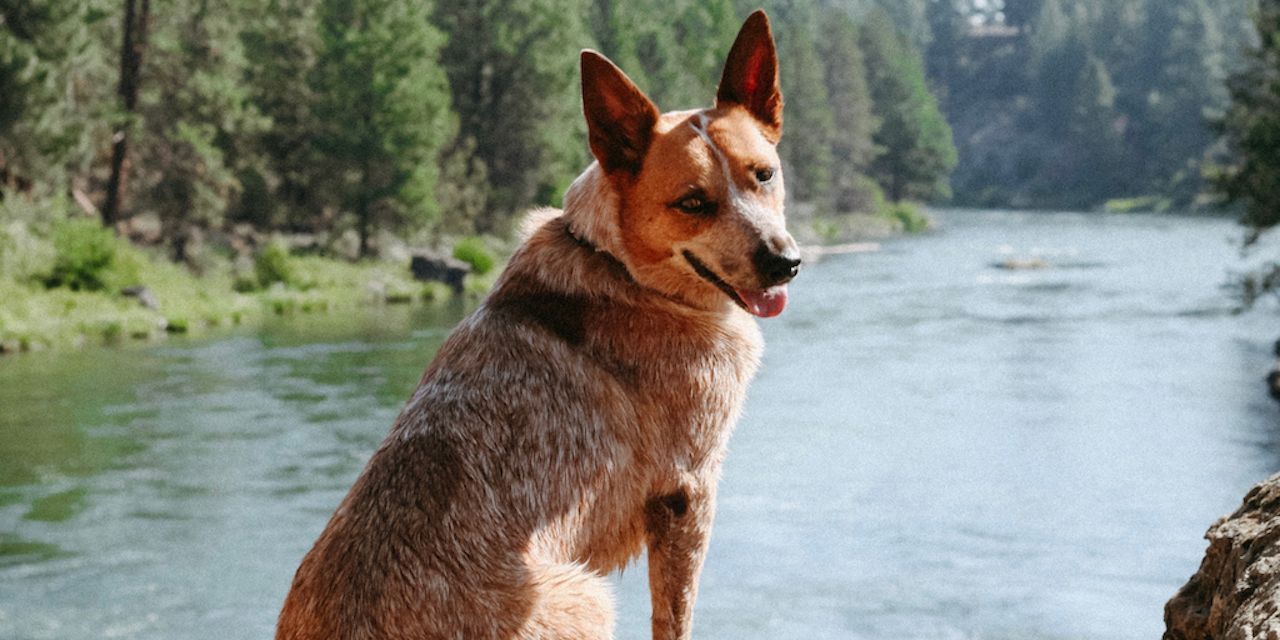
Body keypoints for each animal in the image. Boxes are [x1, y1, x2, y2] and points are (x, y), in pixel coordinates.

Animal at [277, 10, 798, 640]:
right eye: (692, 202)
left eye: (764, 175)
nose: (785, 262)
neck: (617, 264)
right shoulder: (687, 491)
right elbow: (674, 616)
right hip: (588, 596)